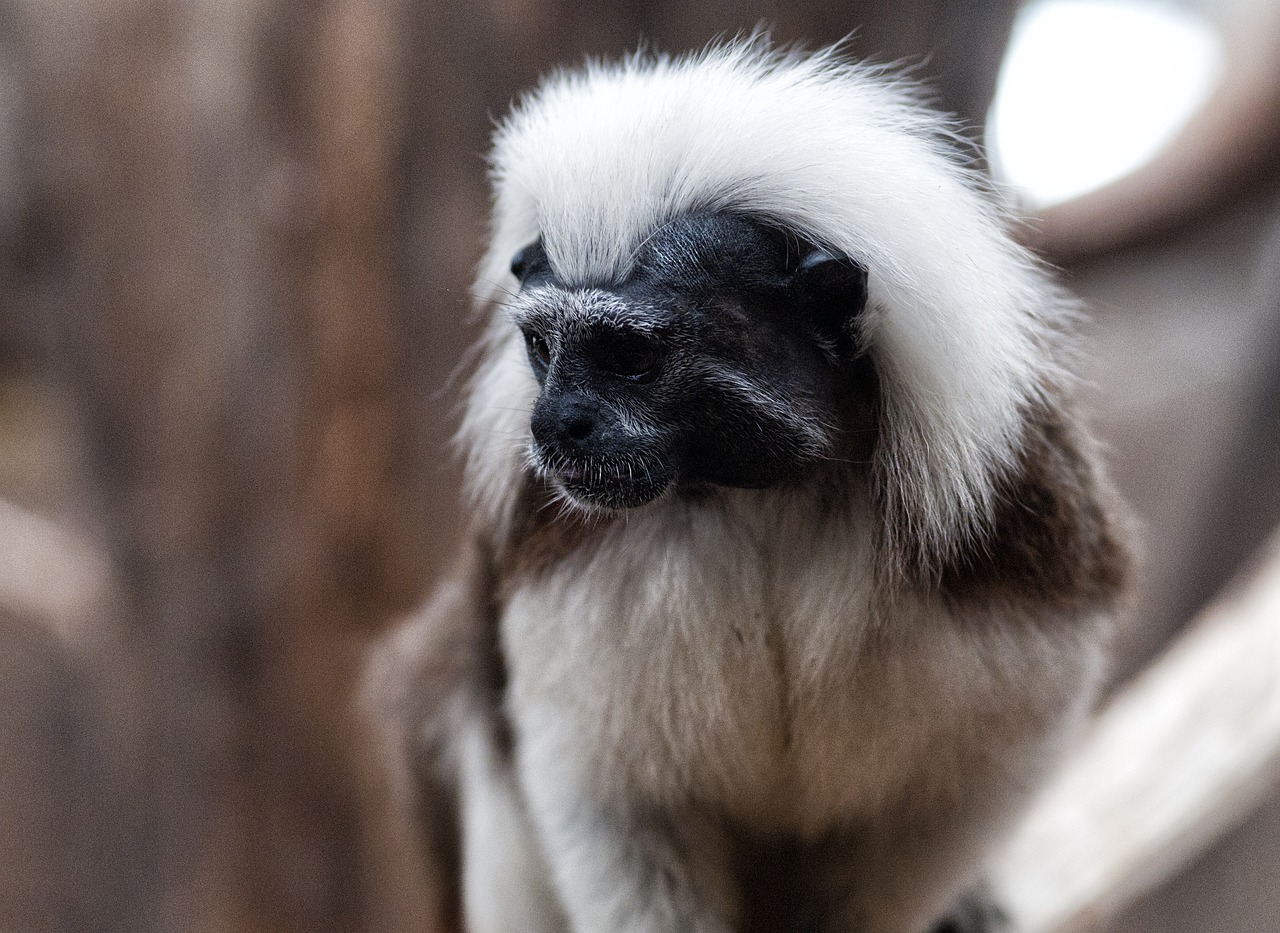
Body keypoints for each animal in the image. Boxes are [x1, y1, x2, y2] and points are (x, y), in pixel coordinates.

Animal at [371, 39, 1131, 926]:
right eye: (542, 347)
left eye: (630, 355)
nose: (555, 423)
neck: (768, 498)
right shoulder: (558, 560)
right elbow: (610, 803)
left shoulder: (1020, 541)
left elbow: (967, 789)